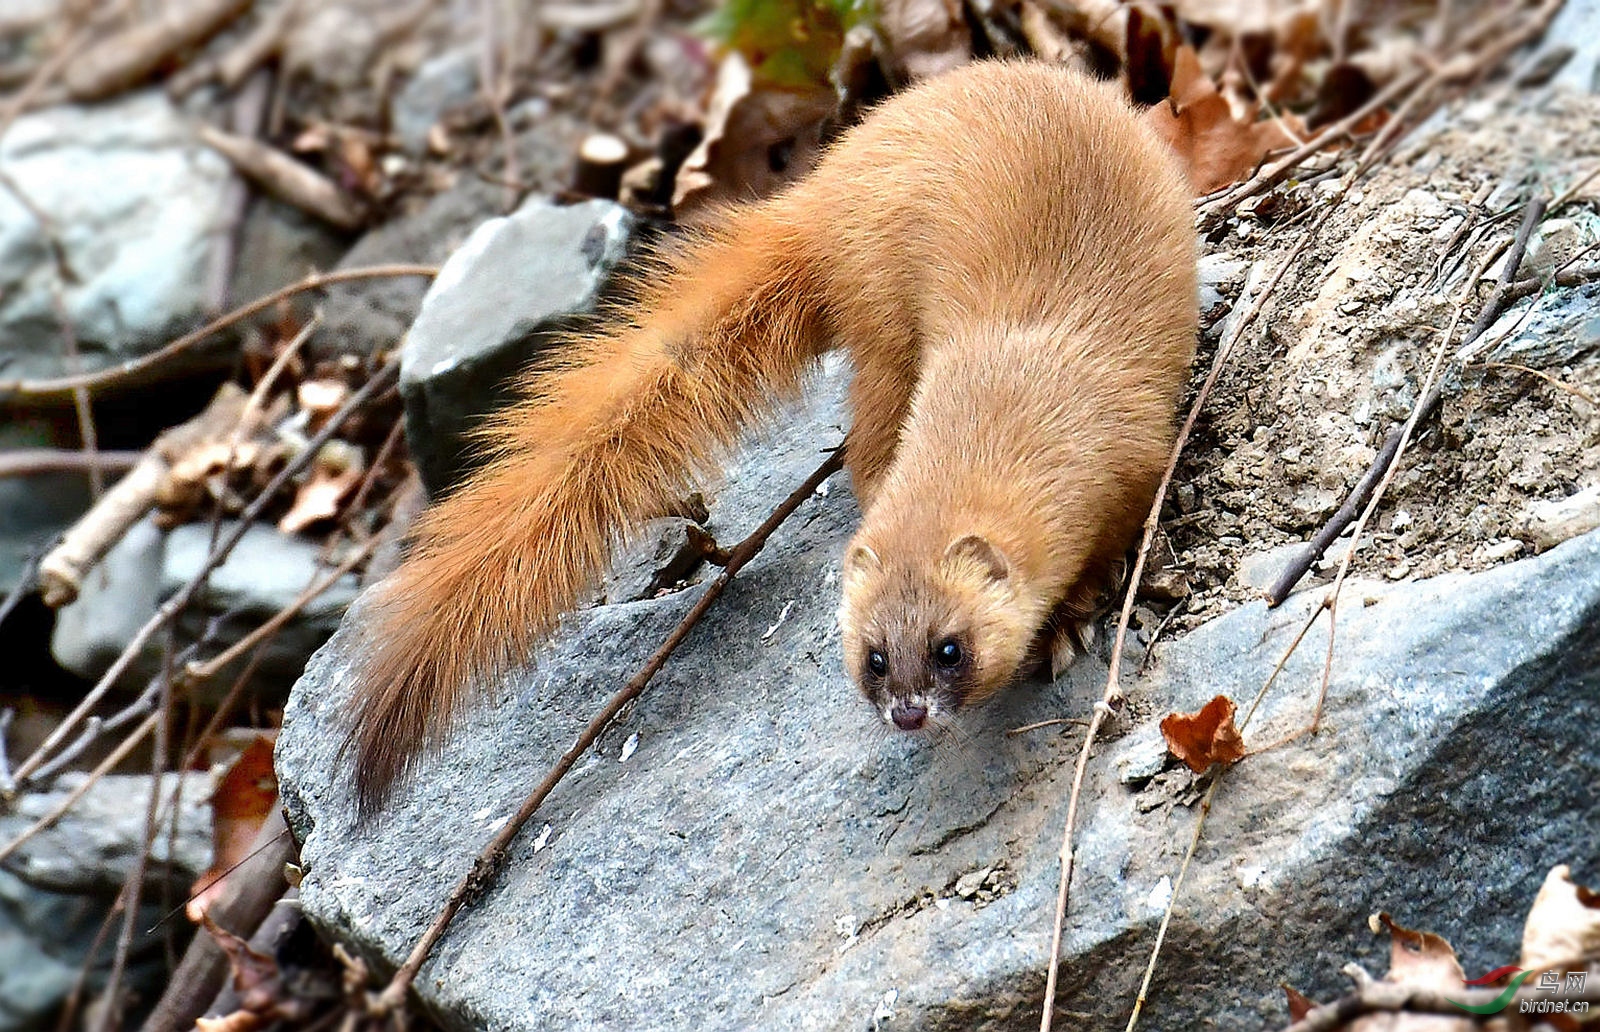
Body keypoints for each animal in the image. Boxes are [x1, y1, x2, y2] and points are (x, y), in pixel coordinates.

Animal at [353, 60, 1203, 816]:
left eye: (949, 647)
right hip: (880, 317)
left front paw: (1068, 621)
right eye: (873, 656)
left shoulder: (1136, 454)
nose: (907, 711)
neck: (1012, 390)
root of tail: (823, 190)